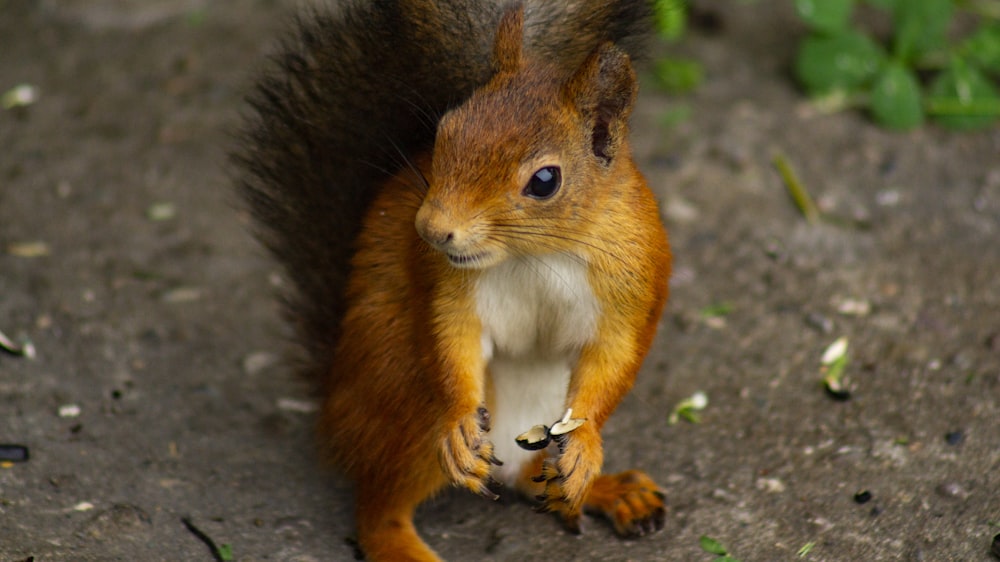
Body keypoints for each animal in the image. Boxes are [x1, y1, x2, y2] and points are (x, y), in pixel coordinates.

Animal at [235, 2, 672, 556]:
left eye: (544, 181)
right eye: (445, 132)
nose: (430, 229)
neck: (535, 255)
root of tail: (335, 405)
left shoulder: (632, 282)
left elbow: (614, 359)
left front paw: (587, 447)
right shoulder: (448, 288)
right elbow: (452, 340)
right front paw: (461, 420)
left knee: (530, 475)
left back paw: (604, 490)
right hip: (406, 397)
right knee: (379, 507)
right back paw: (405, 542)